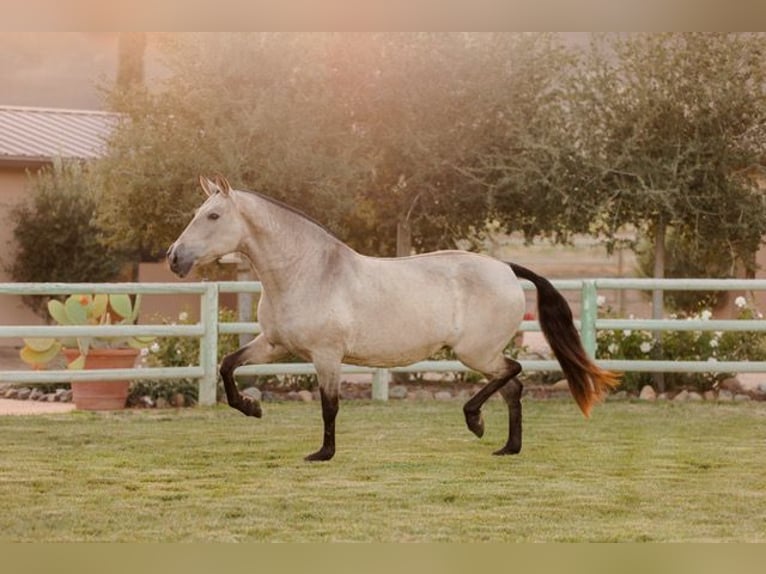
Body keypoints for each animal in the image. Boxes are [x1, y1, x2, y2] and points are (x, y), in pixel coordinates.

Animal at [165, 176, 620, 464]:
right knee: (514, 387)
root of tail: (505, 268)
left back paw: (474, 420)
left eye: (213, 216)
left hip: (476, 353)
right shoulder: (274, 344)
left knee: (515, 372)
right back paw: (507, 447)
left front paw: (322, 454)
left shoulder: (326, 356)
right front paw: (251, 408)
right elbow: (227, 366)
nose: (174, 256)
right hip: (482, 355)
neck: (308, 272)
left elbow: (330, 406)